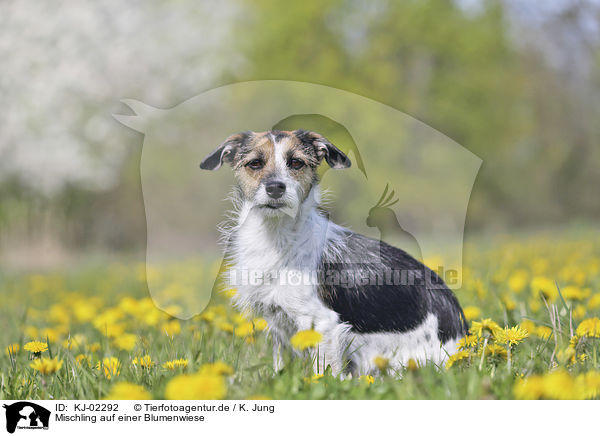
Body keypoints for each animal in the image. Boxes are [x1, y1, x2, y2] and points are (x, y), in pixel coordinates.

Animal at [202, 129, 468, 374]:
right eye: (255, 163)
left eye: (296, 162)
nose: (275, 187)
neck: (276, 236)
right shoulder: (280, 327)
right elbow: (281, 367)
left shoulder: (321, 323)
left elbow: (324, 372)